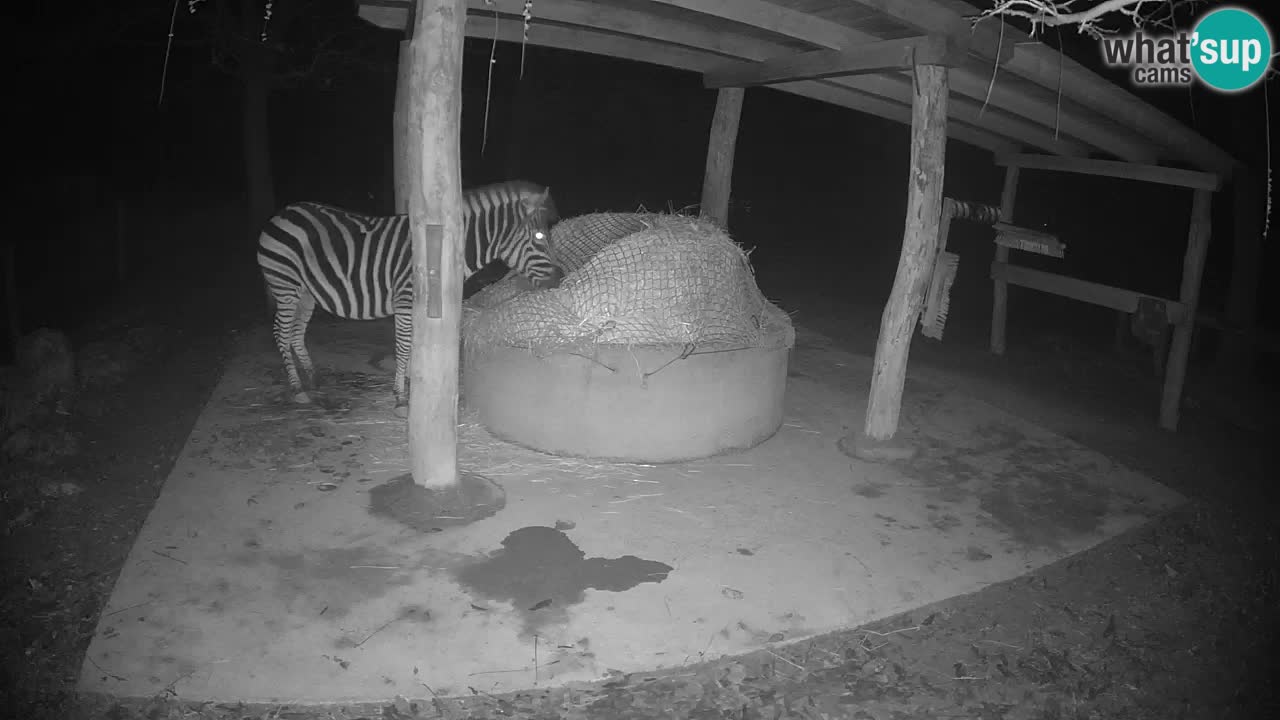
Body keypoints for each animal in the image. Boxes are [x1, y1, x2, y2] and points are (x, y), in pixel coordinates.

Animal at [256, 180, 562, 410]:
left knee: (296, 333)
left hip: (306, 291)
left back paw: (312, 378)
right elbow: (404, 347)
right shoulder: (405, 300)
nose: (559, 279)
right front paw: (401, 397)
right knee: (281, 332)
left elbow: (415, 346)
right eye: (539, 237)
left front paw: (415, 385)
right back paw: (297, 388)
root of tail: (283, 212)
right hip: (285, 285)